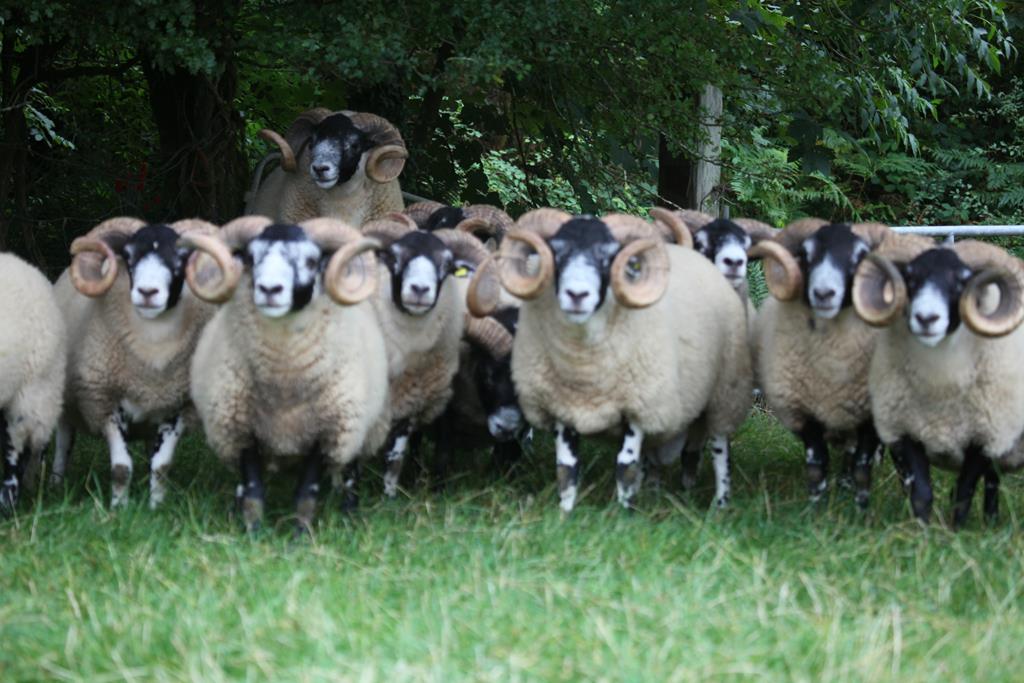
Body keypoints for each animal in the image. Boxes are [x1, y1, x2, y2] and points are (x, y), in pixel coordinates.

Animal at [51, 218, 219, 508]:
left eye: (182, 258)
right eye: (128, 256)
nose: (147, 292)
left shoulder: (176, 408)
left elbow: (161, 466)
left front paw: (156, 508)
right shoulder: (106, 404)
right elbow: (121, 467)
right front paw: (119, 509)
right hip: (66, 404)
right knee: (63, 444)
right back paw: (56, 484)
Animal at [180, 216, 390, 533]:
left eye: (312, 261)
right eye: (250, 258)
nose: (270, 289)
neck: (284, 384)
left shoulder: (326, 432)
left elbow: (306, 491)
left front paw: (300, 535)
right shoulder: (241, 428)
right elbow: (253, 489)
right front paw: (252, 532)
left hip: (358, 428)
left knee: (351, 472)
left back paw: (350, 514)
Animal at [467, 208, 752, 511]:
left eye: (609, 257)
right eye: (556, 252)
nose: (577, 295)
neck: (585, 365)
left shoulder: (637, 408)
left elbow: (625, 466)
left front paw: (624, 513)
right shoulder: (564, 408)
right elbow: (566, 469)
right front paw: (565, 514)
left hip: (725, 393)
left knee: (719, 451)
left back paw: (719, 505)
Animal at [749, 219, 911, 509]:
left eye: (859, 257)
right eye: (806, 255)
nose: (824, 293)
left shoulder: (869, 416)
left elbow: (862, 465)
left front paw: (861, 509)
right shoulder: (806, 410)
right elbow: (817, 465)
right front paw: (815, 508)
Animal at [852, 238, 1024, 526]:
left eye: (962, 281)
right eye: (910, 278)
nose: (926, 319)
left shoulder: (985, 438)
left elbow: (963, 493)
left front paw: (956, 531)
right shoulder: (904, 431)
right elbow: (921, 492)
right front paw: (923, 530)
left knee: (991, 481)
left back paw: (990, 522)